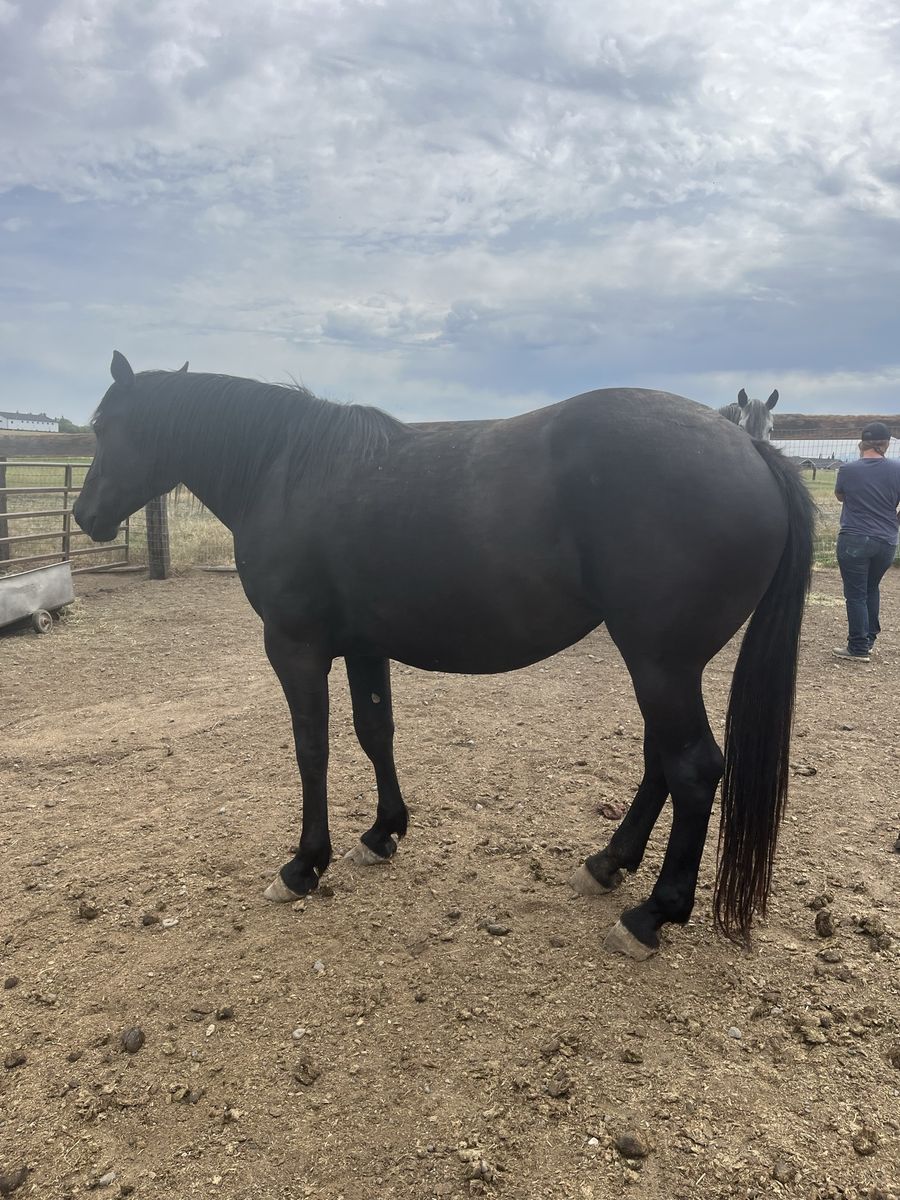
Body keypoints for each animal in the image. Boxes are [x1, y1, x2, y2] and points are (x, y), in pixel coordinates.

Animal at [74, 353, 815, 960]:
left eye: (104, 428)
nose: (84, 516)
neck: (285, 470)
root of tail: (751, 450)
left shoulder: (295, 645)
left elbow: (312, 749)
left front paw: (305, 865)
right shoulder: (363, 646)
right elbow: (375, 732)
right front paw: (382, 833)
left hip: (661, 663)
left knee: (693, 769)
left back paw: (653, 914)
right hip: (660, 666)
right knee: (661, 761)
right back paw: (606, 865)